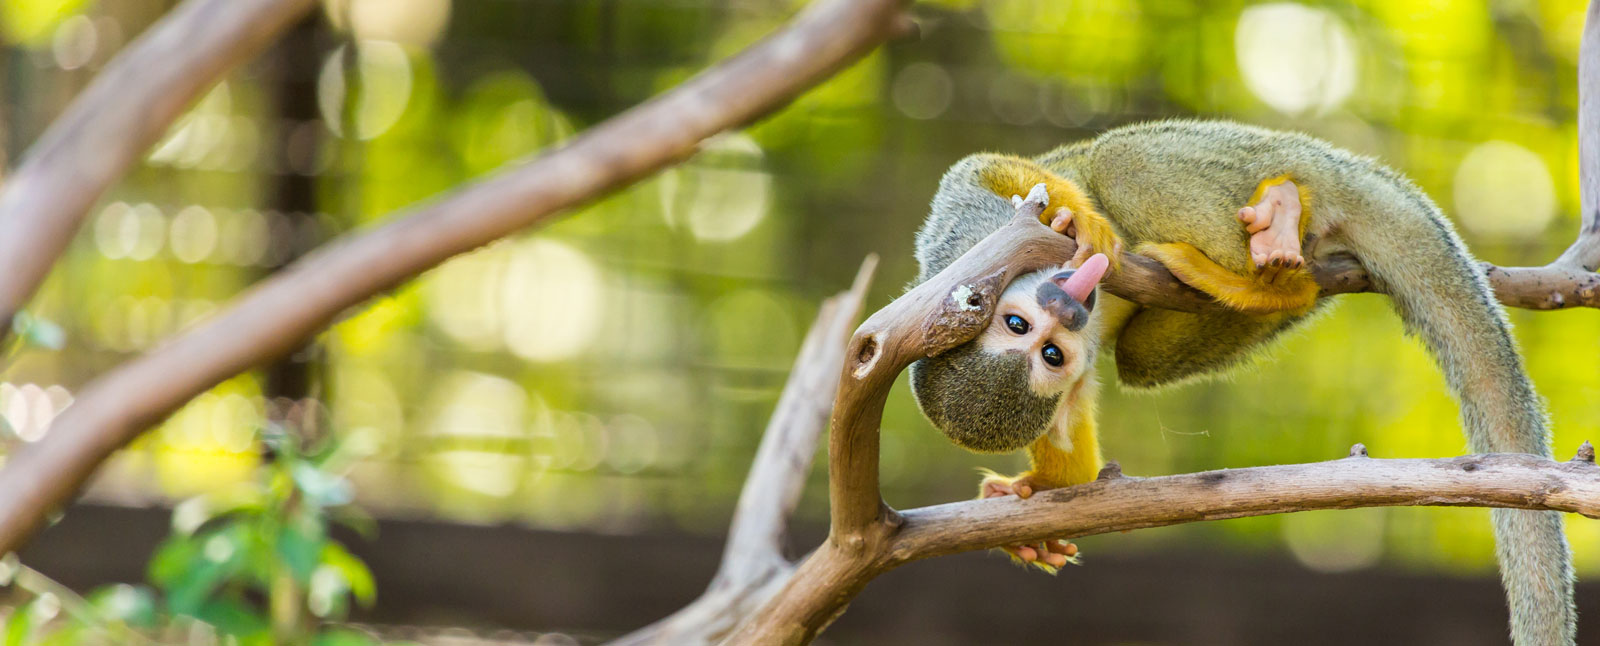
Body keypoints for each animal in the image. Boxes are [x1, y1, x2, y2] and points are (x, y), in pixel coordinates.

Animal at [915, 118, 1574, 642]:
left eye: (1025, 329)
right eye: (1048, 353)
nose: (1067, 309)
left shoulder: (973, 254)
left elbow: (982, 175)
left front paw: (1078, 216)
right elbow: (1073, 465)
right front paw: (1031, 502)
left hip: (1240, 156)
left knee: (1121, 161)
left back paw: (1277, 221)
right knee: (1141, 357)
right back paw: (1285, 283)